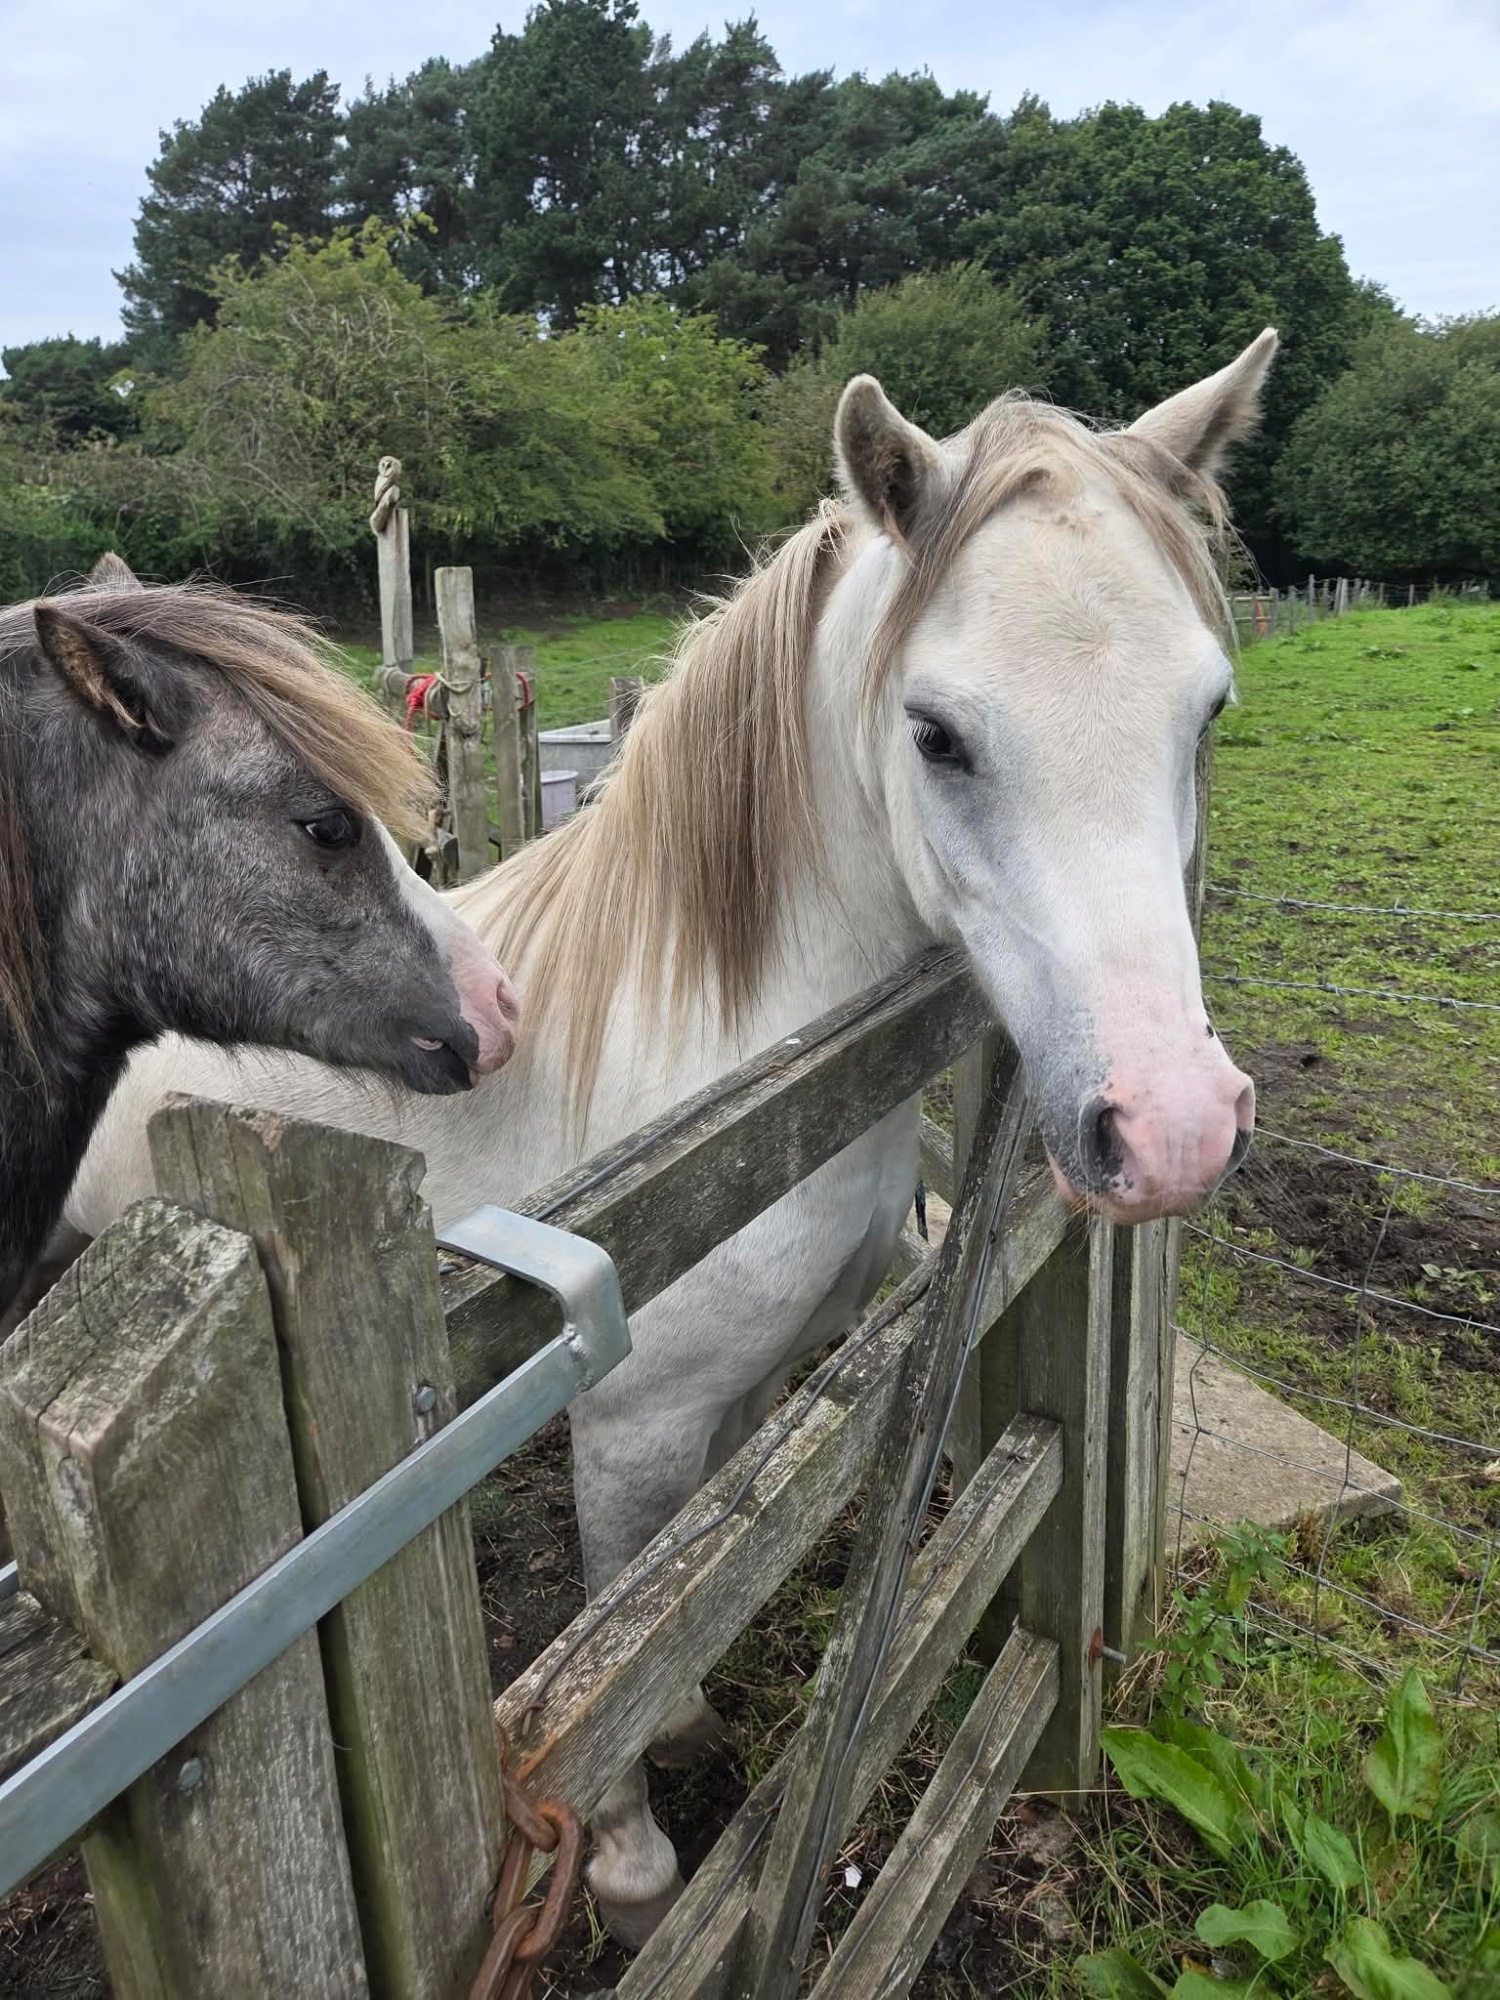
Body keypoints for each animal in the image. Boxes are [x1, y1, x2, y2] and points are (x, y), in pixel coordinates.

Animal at [65, 333, 1274, 1944]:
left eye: (1207, 714)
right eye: (936, 732)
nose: (1176, 1125)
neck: (732, 1078)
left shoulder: (753, 1375)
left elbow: (694, 1579)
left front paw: (694, 1709)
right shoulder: (628, 1421)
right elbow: (615, 1639)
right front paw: (637, 1873)